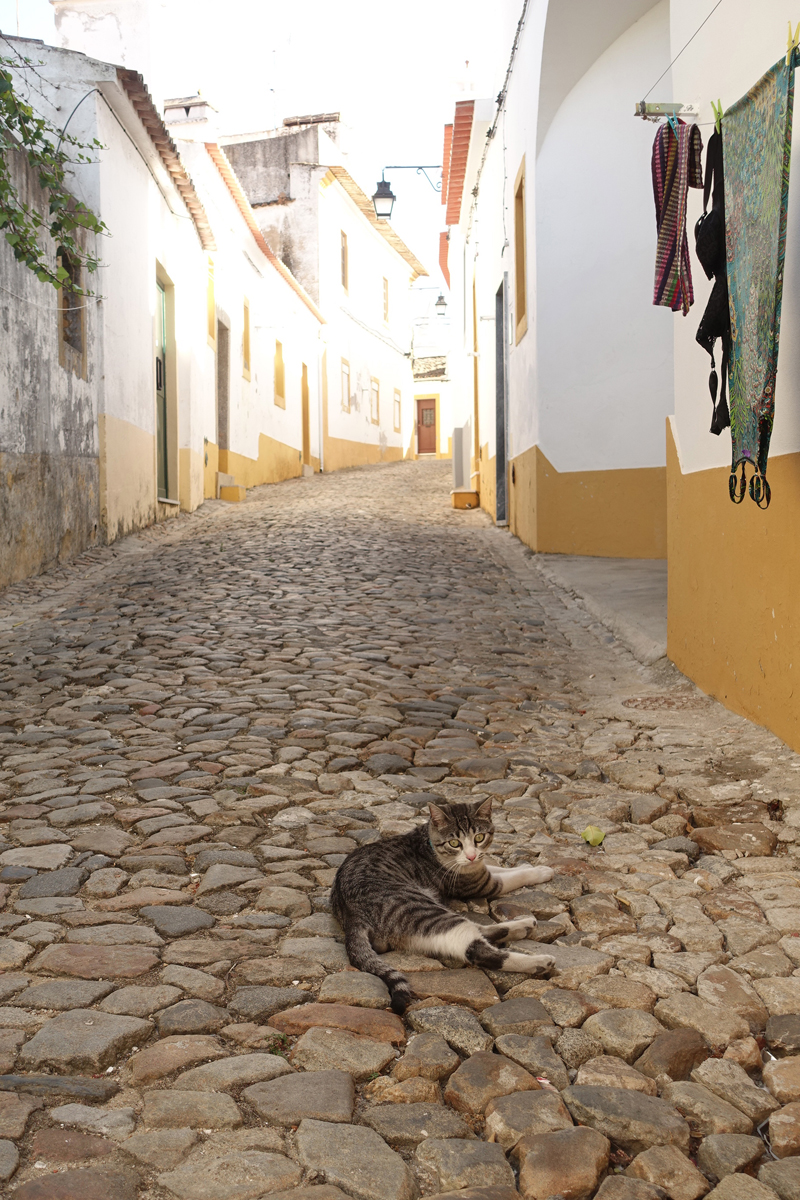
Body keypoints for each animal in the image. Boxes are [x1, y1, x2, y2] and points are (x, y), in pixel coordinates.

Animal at [328, 796, 554, 1012]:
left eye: (479, 838)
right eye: (454, 843)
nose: (471, 855)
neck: (430, 844)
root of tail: (351, 913)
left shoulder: (479, 869)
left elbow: (498, 868)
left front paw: (527, 865)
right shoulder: (482, 884)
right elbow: (512, 877)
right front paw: (540, 871)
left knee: (479, 929)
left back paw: (523, 926)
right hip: (424, 909)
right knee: (476, 949)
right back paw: (539, 962)